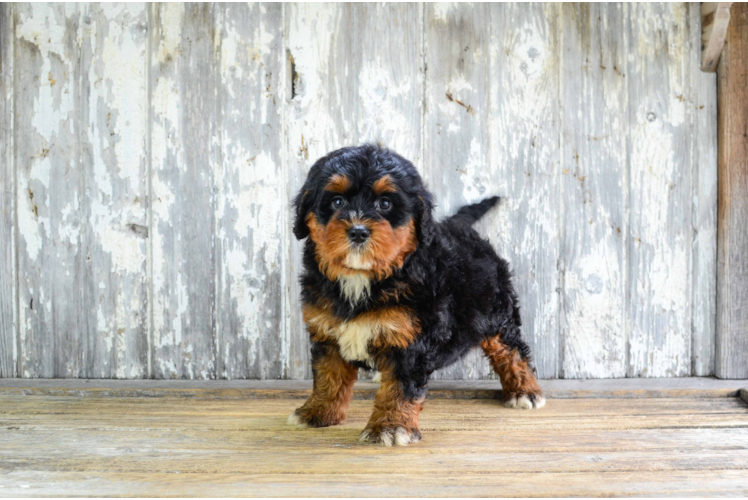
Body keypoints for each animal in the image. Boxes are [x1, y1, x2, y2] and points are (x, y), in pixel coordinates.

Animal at [288, 144, 544, 446]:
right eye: (337, 202)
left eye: (385, 204)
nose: (358, 231)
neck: (362, 278)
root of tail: (459, 226)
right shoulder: (328, 333)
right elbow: (329, 376)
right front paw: (317, 412)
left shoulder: (410, 339)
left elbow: (401, 386)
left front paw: (390, 427)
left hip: (497, 310)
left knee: (511, 349)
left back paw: (524, 390)